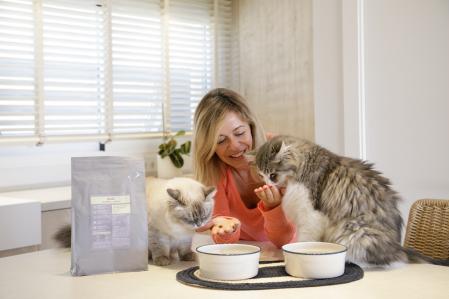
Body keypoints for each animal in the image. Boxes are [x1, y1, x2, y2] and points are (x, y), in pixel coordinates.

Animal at [250, 136, 408, 268]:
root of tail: (397, 249)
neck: (305, 164)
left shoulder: (310, 213)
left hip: (356, 231)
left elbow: (303, 240)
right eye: (261, 175)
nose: (267, 184)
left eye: (273, 175)